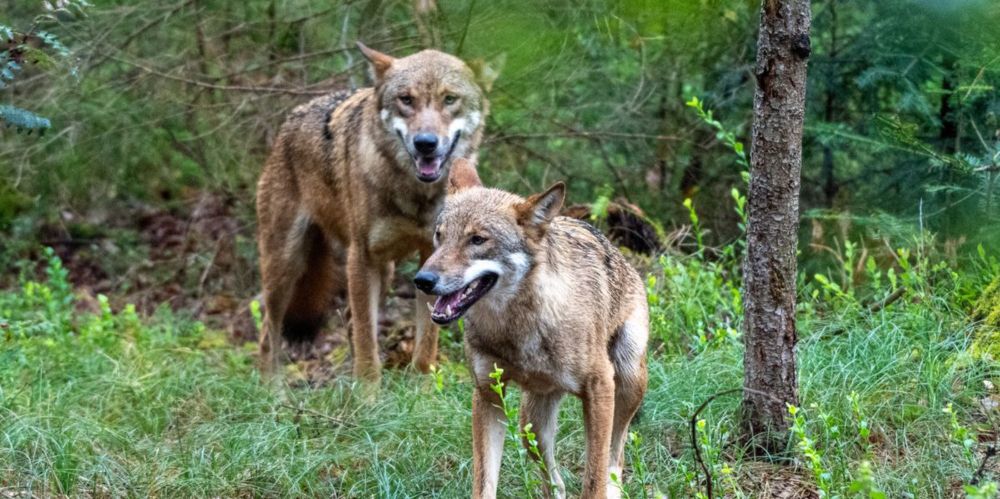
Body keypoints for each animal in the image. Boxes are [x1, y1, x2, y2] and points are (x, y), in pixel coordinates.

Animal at [256, 43, 494, 380]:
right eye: (406, 99)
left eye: (450, 99)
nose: (425, 143)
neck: (415, 195)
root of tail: (290, 121)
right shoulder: (361, 258)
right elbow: (368, 349)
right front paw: (368, 391)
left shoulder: (432, 260)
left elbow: (425, 345)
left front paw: (421, 387)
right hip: (285, 266)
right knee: (269, 332)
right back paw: (271, 388)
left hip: (384, 271)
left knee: (349, 320)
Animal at [414, 166, 648, 498]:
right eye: (440, 235)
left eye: (477, 239)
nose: (422, 280)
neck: (518, 329)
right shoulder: (487, 394)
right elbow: (483, 484)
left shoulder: (600, 386)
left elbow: (594, 478)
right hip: (532, 426)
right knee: (555, 482)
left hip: (628, 380)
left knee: (615, 460)